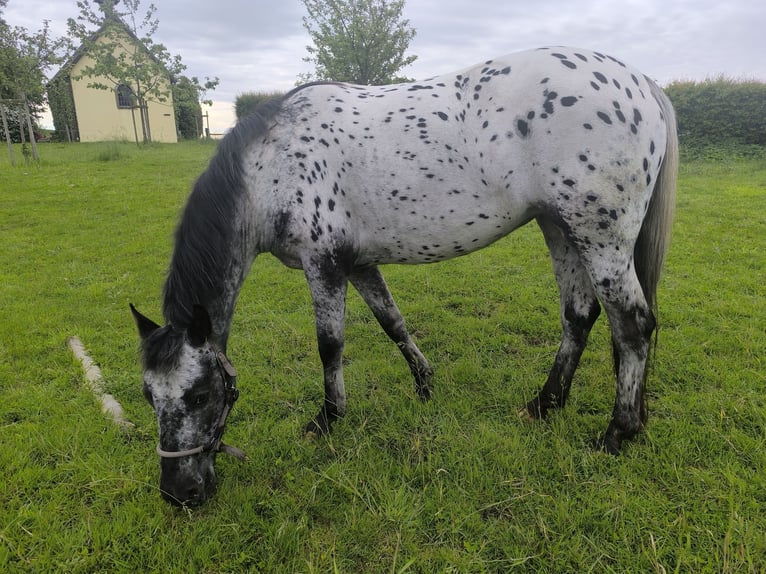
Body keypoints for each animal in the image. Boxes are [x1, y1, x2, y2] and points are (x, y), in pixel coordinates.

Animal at [131, 46, 677, 506]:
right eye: (148, 395)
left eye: (200, 395)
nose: (178, 493)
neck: (270, 166)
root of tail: (641, 83)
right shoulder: (359, 263)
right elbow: (392, 321)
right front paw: (424, 384)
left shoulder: (324, 263)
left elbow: (330, 344)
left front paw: (327, 419)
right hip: (560, 229)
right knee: (578, 316)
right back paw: (544, 404)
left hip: (600, 238)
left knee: (632, 326)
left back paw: (617, 433)